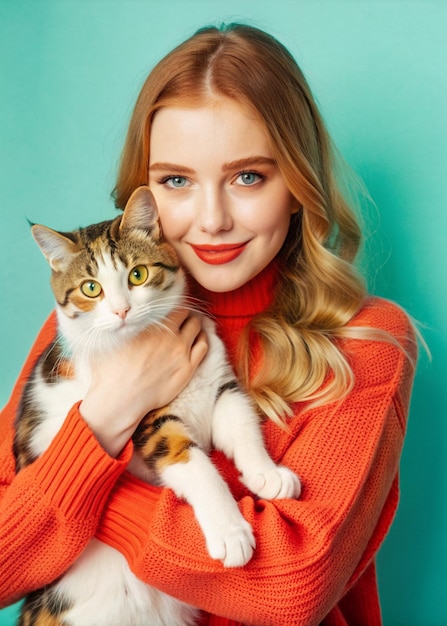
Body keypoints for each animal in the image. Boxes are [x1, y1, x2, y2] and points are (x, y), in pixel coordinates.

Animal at [14, 185, 302, 624]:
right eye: (91, 288)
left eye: (138, 274)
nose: (122, 310)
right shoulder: (147, 419)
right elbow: (193, 462)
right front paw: (230, 529)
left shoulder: (218, 382)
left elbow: (240, 424)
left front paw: (266, 473)